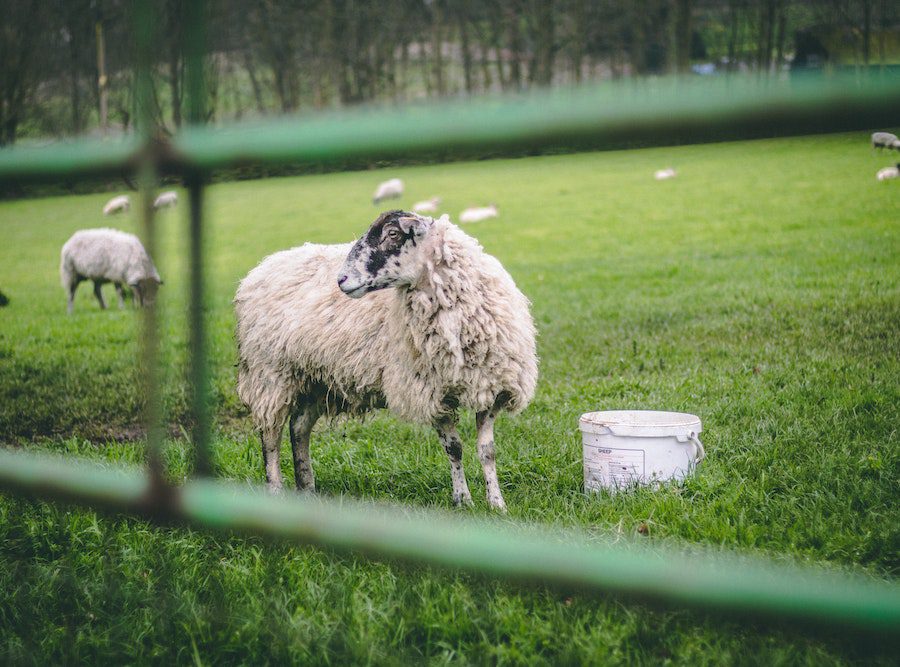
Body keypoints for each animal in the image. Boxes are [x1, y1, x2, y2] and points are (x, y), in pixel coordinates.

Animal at [236, 211, 536, 508]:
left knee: (299, 427)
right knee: (270, 436)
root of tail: (263, 267)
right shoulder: (429, 392)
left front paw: (496, 503)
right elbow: (454, 448)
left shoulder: (490, 387)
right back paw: (276, 489)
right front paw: (463, 500)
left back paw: (307, 488)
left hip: (315, 378)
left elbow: (487, 451)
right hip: (271, 375)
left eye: (392, 234)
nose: (341, 279)